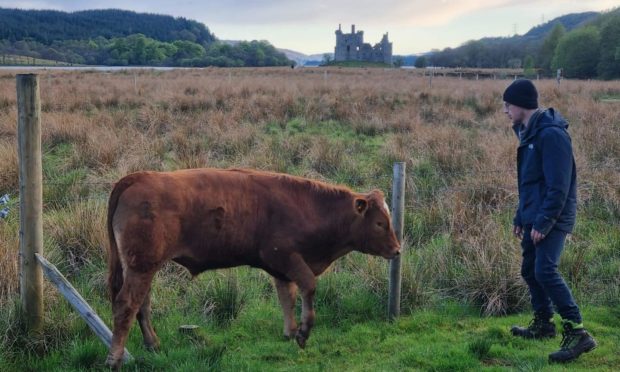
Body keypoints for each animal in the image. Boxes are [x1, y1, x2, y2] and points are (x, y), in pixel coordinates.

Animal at [104, 169, 400, 370]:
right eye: (379, 223)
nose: (397, 250)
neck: (306, 205)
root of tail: (137, 178)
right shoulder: (286, 258)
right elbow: (308, 286)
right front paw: (303, 333)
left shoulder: (281, 269)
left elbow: (287, 296)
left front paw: (290, 332)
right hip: (141, 268)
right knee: (126, 305)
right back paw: (114, 359)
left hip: (144, 269)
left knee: (142, 305)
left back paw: (153, 345)